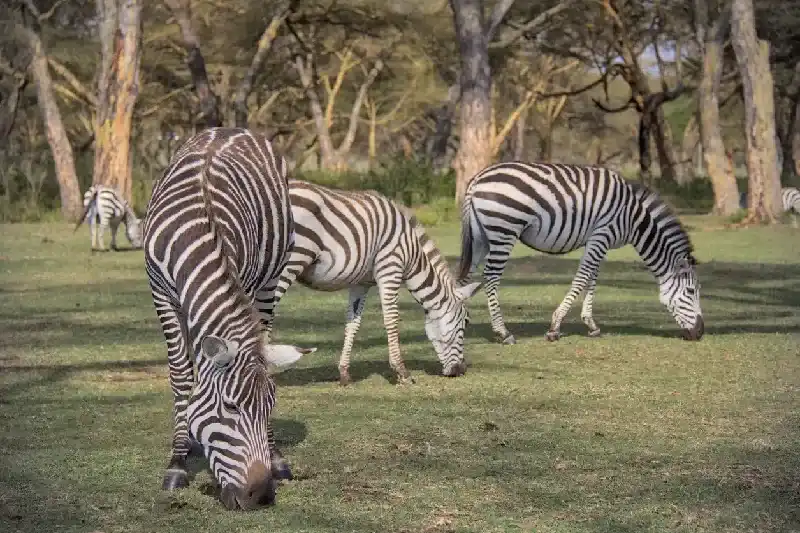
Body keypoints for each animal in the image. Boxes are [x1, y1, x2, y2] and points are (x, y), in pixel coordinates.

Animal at [143, 128, 316, 511]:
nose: (263, 496)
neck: (198, 233)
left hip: (271, 278)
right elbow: (181, 376)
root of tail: (231, 129)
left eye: (271, 408)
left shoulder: (245, 284)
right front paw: (177, 462)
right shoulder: (161, 293)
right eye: (231, 407)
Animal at [263, 180, 482, 386]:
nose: (460, 370)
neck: (413, 255)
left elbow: (353, 323)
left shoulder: (361, 283)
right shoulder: (391, 268)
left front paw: (344, 374)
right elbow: (392, 319)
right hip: (287, 265)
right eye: (466, 322)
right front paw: (402, 372)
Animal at [458, 162, 704, 343]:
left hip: (481, 237)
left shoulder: (597, 240)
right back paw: (503, 332)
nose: (701, 333)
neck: (633, 218)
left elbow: (592, 278)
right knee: (490, 277)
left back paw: (461, 323)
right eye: (691, 291)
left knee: (465, 277)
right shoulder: (602, 234)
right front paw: (555, 327)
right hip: (504, 230)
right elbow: (582, 278)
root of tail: (477, 179)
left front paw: (591, 325)